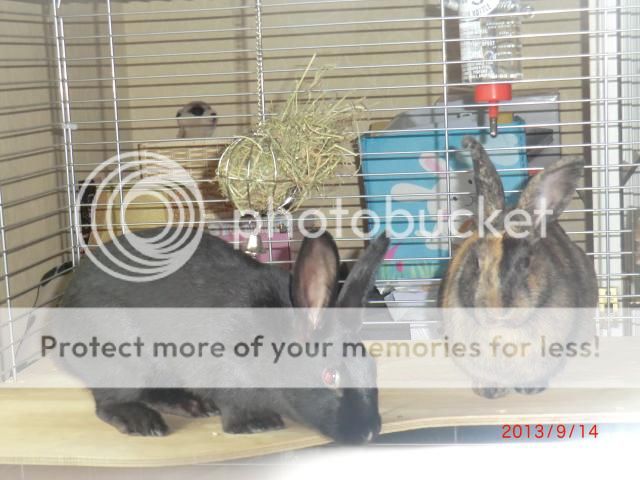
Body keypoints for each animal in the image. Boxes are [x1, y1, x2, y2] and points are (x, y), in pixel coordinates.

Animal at [438, 135, 596, 398]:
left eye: (525, 262)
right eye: (477, 261)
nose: (496, 310)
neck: (504, 333)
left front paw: (530, 389)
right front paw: (490, 391)